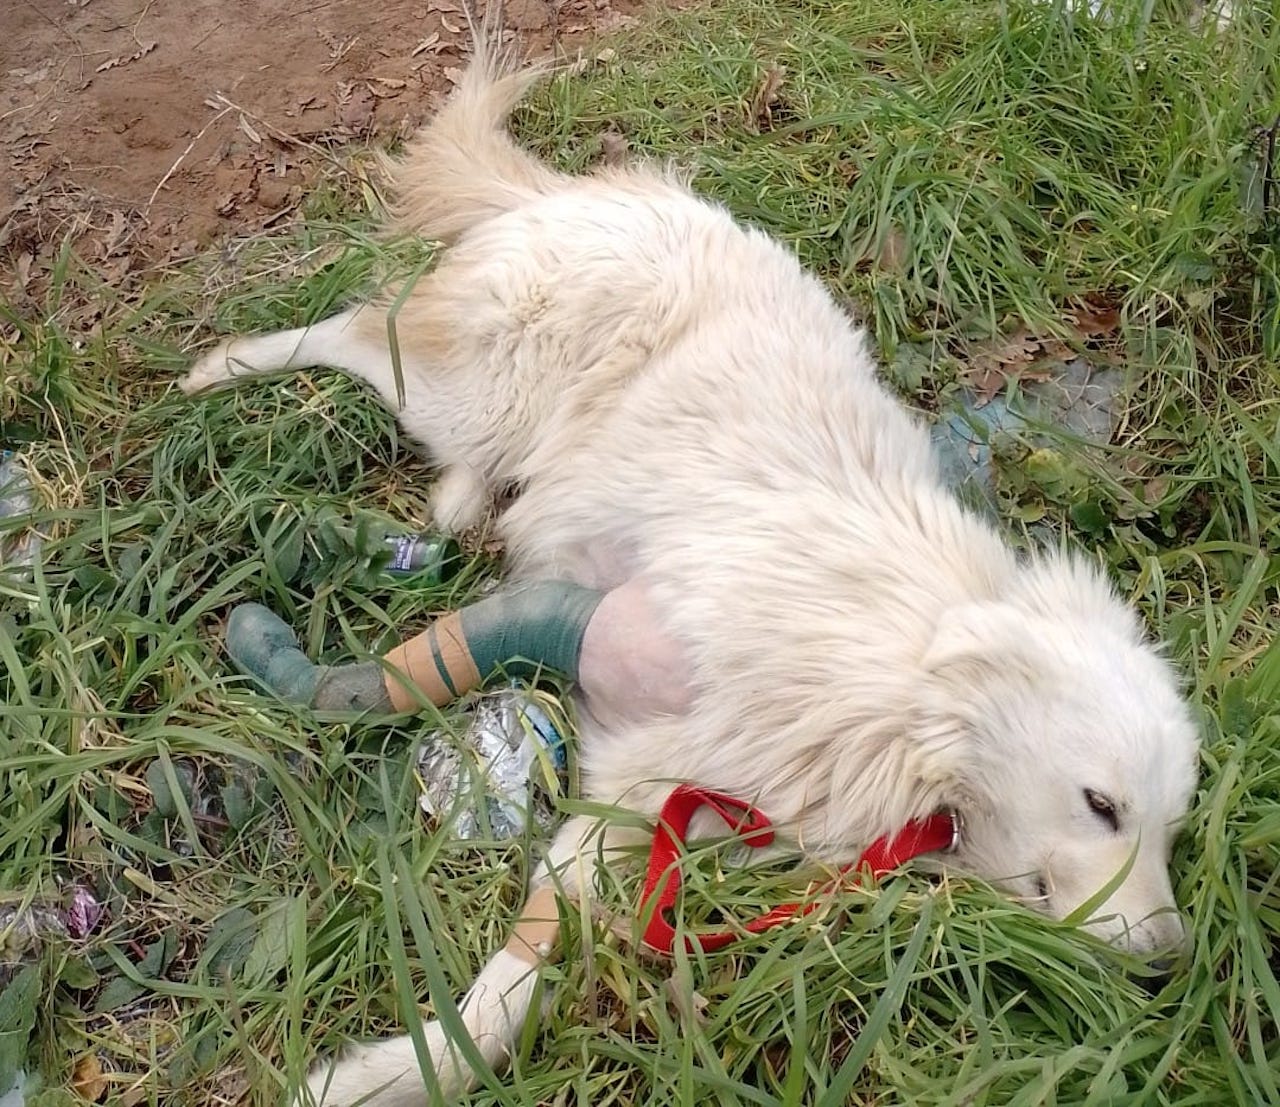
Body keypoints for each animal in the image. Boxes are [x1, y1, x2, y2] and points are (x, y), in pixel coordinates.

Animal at [183, 34, 1198, 1105]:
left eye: (1173, 829)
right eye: (1102, 805)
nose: (1173, 964)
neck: (898, 686)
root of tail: (581, 193)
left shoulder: (677, 801)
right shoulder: (637, 772)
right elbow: (503, 998)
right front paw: (376, 1076)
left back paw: (459, 500)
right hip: (462, 389)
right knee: (355, 321)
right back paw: (218, 367)